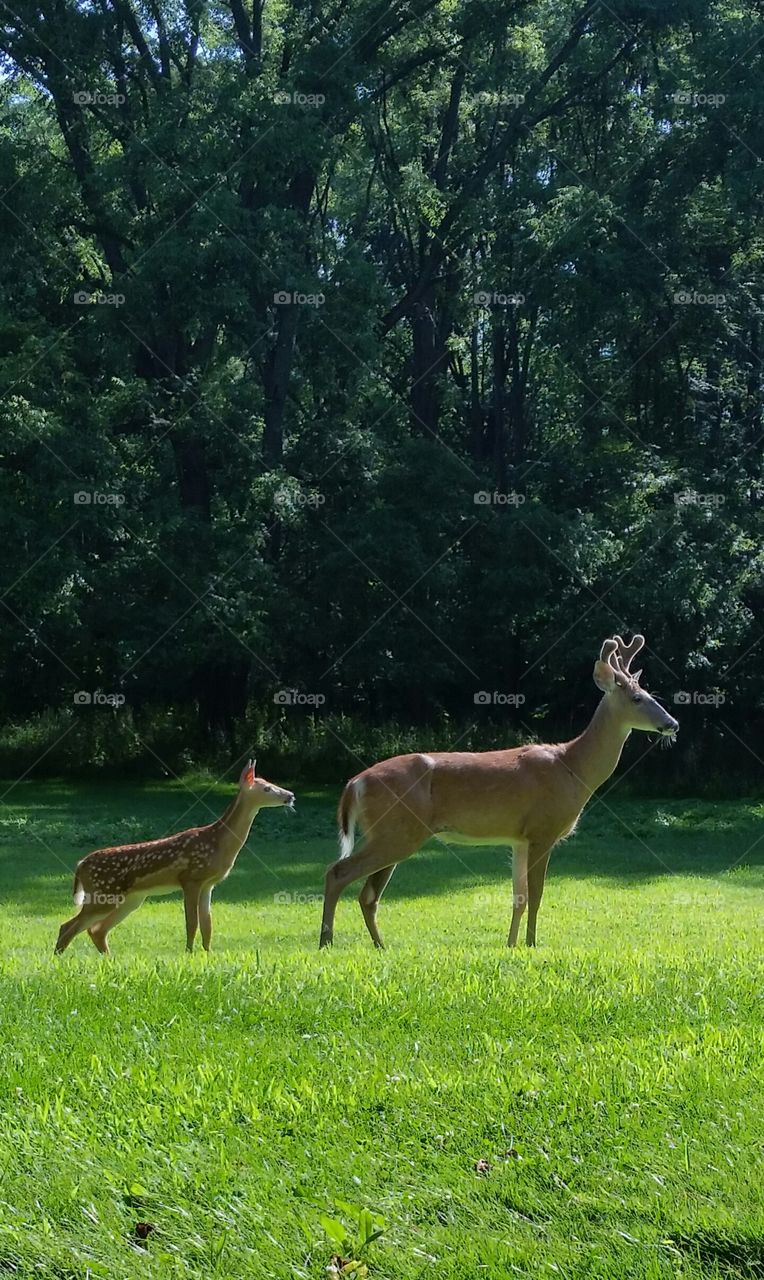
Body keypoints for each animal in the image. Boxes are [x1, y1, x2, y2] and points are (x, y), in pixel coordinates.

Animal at [54, 761, 294, 956]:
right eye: (267, 788)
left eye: (271, 782)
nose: (290, 795)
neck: (218, 842)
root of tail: (80, 864)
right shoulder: (190, 878)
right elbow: (192, 923)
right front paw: (189, 954)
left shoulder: (209, 884)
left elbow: (207, 924)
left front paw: (208, 953)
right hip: (104, 893)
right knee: (69, 926)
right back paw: (59, 960)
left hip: (130, 899)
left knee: (96, 930)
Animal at [319, 634, 679, 951]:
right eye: (637, 698)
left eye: (650, 693)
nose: (672, 724)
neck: (573, 768)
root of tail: (354, 783)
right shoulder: (543, 830)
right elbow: (537, 894)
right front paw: (532, 944)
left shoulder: (518, 837)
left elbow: (519, 896)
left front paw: (511, 944)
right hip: (397, 830)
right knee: (338, 872)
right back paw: (327, 942)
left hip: (393, 832)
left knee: (367, 894)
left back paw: (380, 946)